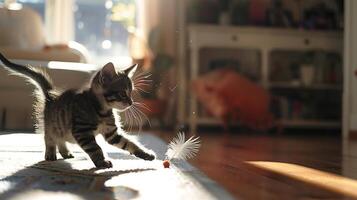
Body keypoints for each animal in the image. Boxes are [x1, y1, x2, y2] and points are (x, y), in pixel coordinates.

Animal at [0, 53, 154, 169]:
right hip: (52, 125)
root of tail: (51, 96)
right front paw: (102, 162)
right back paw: (50, 153)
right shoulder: (82, 130)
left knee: (60, 139)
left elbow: (130, 143)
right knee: (49, 137)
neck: (101, 111)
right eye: (122, 93)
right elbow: (95, 147)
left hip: (61, 127)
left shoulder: (112, 134)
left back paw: (65, 152)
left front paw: (145, 153)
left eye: (131, 93)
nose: (131, 102)